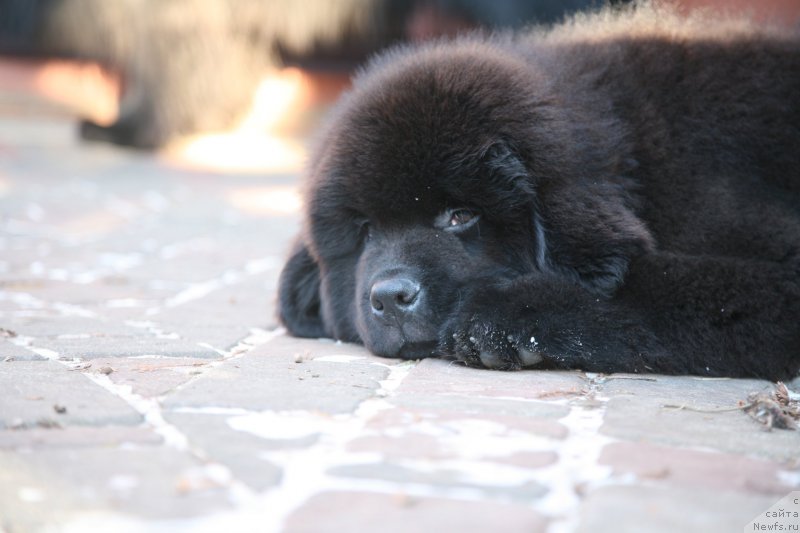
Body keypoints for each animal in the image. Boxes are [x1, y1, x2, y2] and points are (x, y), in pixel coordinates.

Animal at [276, 4, 800, 378]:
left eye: (460, 215)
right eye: (365, 231)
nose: (389, 296)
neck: (636, 161)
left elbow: (653, 292)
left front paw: (501, 319)